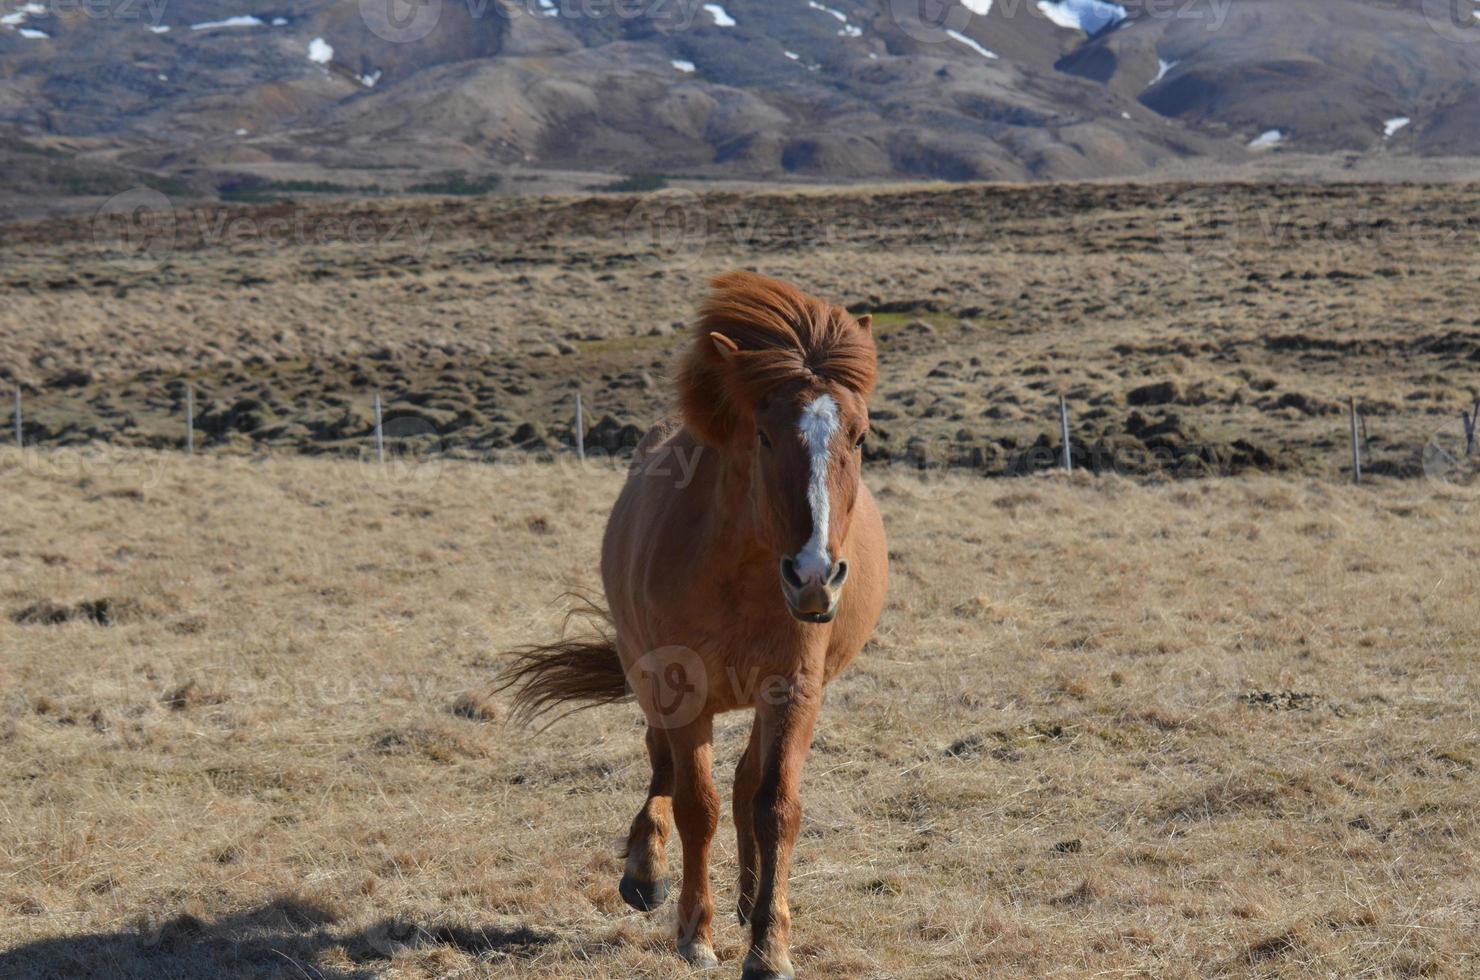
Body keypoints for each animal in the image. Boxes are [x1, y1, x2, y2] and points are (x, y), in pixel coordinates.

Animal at [503, 270, 882, 980]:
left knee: (744, 783)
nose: (814, 574)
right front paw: (694, 931)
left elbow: (775, 805)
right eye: (764, 435)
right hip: (645, 670)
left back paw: (747, 898)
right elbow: (693, 804)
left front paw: (769, 944)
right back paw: (645, 872)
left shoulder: (794, 688)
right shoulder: (679, 685)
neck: (743, 567)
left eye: (860, 436)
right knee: (662, 764)